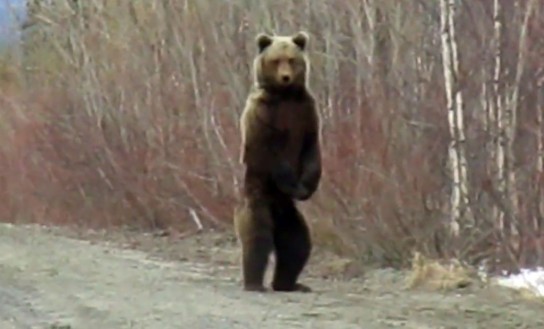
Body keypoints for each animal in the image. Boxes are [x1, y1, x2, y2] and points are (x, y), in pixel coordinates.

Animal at [235, 30, 324, 292]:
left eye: (292, 60)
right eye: (276, 60)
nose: (285, 77)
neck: (285, 97)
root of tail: (276, 209)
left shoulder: (306, 112)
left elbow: (312, 150)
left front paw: (306, 187)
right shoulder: (263, 116)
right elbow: (269, 153)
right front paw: (292, 183)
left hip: (289, 217)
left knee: (297, 244)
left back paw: (289, 283)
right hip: (258, 197)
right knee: (257, 238)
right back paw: (254, 282)